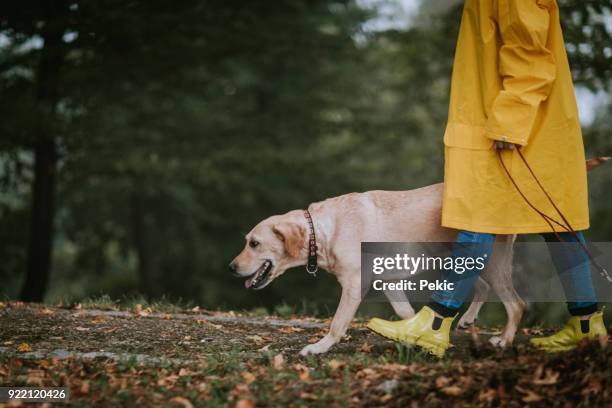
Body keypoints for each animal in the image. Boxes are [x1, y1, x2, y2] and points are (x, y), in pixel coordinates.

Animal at [232, 156, 608, 354]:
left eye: (254, 243)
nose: (232, 267)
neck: (325, 229)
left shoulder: (354, 285)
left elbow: (338, 323)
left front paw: (319, 347)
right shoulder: (389, 282)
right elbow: (406, 312)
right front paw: (415, 333)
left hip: (491, 262)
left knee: (515, 304)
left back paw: (503, 339)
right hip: (464, 258)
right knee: (484, 290)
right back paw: (467, 320)